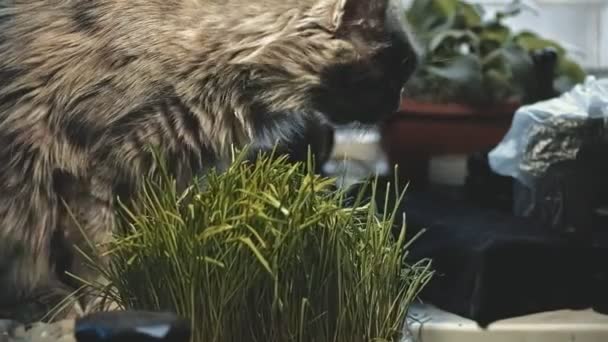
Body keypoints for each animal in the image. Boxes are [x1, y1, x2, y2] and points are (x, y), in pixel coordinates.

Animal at [0, 0, 418, 324]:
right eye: (394, 69)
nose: (397, 105)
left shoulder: (157, 173)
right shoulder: (88, 168)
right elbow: (99, 255)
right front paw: (111, 304)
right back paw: (55, 306)